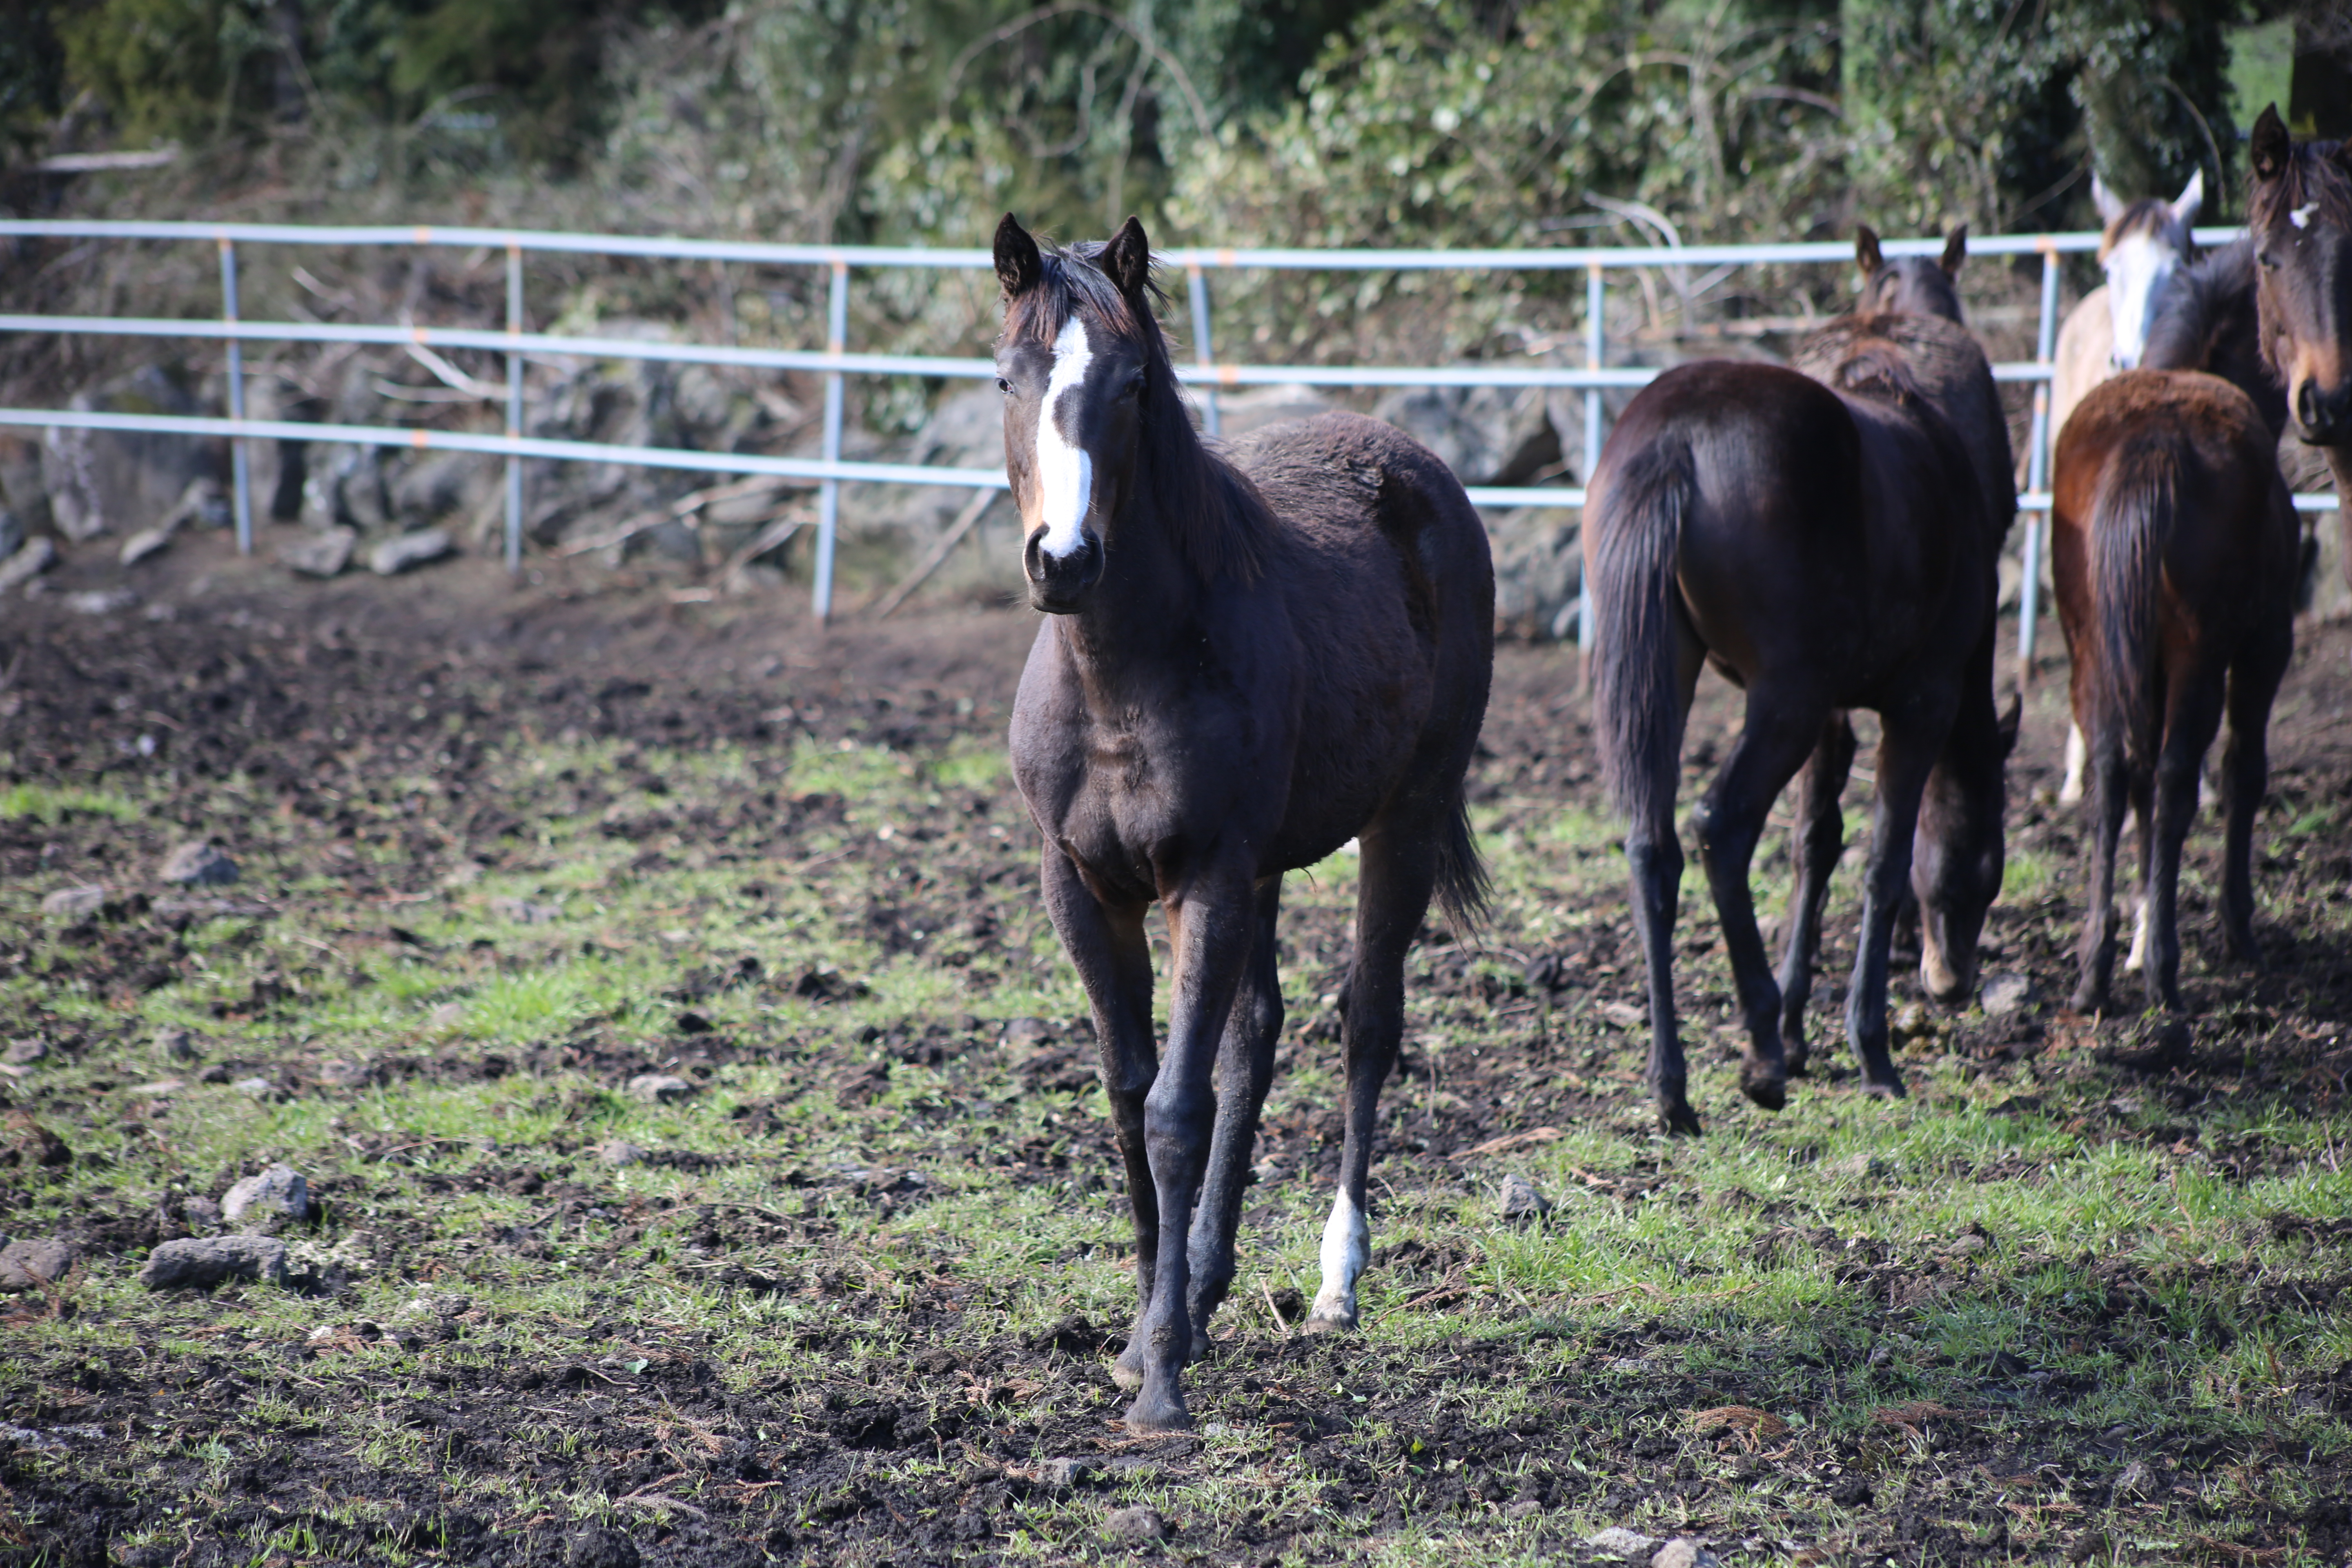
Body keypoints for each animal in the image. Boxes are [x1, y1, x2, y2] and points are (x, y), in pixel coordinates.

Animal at [992, 212, 1486, 1439]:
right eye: (1008, 375)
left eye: (1130, 385)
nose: (1062, 561)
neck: (1124, 674)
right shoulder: (1083, 887)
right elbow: (1130, 1095)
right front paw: (1144, 1326)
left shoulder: (1204, 877)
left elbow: (1179, 1105)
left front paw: (1162, 1379)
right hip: (1265, 869)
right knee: (1257, 1030)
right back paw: (1210, 1284)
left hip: (1400, 822)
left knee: (1366, 1027)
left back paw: (1335, 1282)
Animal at [2051, 369, 2286, 1011]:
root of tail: (2152, 437)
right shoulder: (2264, 648)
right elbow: (2242, 772)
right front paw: (2235, 927)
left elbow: (2136, 784)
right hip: (2200, 655)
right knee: (2179, 776)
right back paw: (2163, 967)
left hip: (2094, 652)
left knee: (2112, 779)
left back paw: (2095, 970)